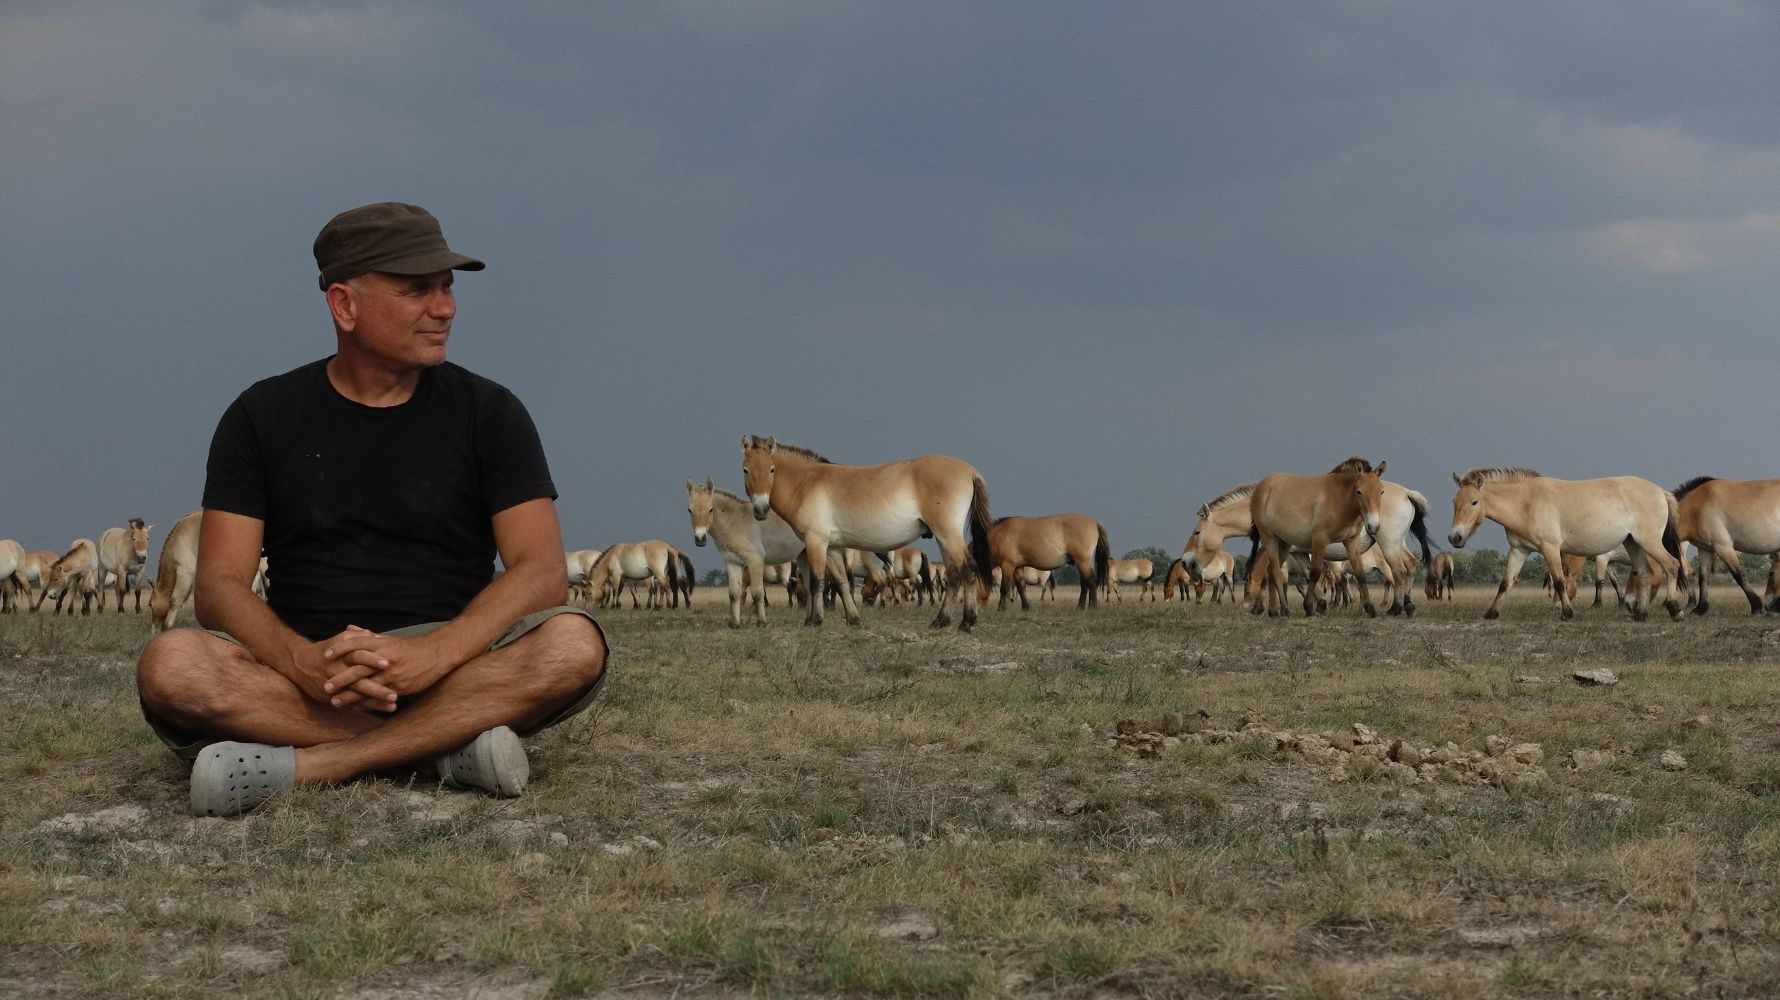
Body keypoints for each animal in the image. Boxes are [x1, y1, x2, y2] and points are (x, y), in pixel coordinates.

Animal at [733, 435, 996, 629]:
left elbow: (816, 582)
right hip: (943, 538)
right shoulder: (832, 547)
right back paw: (941, 621)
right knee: (953, 574)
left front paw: (814, 621)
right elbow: (841, 583)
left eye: (772, 469)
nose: (760, 509)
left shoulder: (816, 541)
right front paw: (853, 619)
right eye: (745, 470)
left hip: (948, 534)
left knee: (968, 569)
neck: (806, 483)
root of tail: (969, 470)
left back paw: (966, 622)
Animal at [1253, 459, 1388, 615]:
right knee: (1275, 571)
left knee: (1271, 572)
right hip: (1269, 538)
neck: (1339, 500)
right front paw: (1309, 607)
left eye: (1381, 491)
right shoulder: (1319, 540)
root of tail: (1262, 485)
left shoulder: (1352, 541)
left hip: (1284, 543)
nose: (1374, 527)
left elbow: (1359, 573)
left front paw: (1370, 608)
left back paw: (1274, 611)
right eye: (1359, 491)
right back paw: (1282, 611)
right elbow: (1315, 572)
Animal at [1445, 466, 1680, 619]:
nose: (1455, 538)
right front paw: (1491, 612)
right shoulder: (1519, 549)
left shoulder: (1550, 548)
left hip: (1649, 542)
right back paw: (1641, 613)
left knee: (1672, 565)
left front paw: (1567, 612)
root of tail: (1661, 492)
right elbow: (1506, 582)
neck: (1526, 502)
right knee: (1645, 573)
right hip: (1634, 544)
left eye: (1474, 502)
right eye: (1454, 502)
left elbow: (1559, 580)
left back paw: (1675, 609)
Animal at [1666, 473, 1780, 612]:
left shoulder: (1723, 547)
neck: (1697, 507)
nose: (1669, 605)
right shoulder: (1705, 549)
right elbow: (1704, 577)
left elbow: (1739, 575)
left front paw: (1756, 606)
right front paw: (1700, 609)